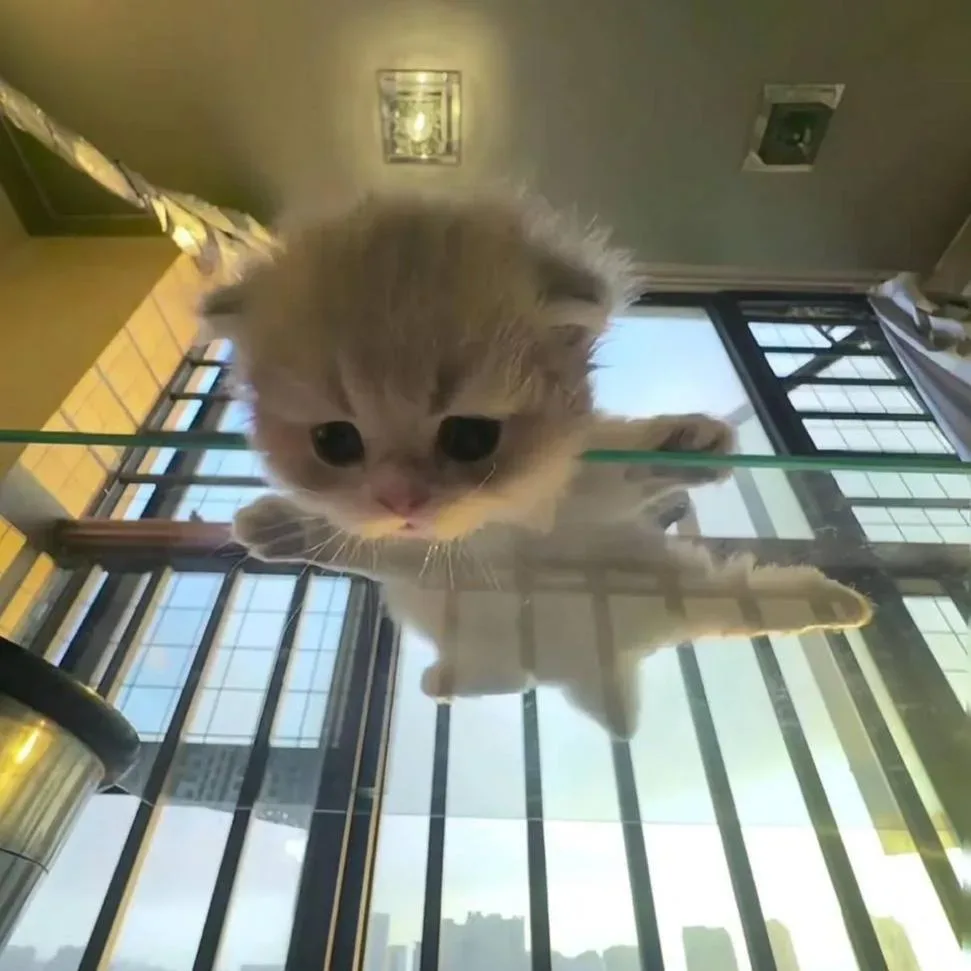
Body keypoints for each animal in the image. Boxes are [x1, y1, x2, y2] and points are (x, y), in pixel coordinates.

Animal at [199, 192, 736, 542]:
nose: (401, 501)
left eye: (470, 438)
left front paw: (684, 445)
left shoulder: (555, 494)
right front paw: (281, 525)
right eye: (334, 442)